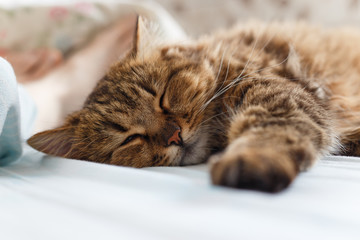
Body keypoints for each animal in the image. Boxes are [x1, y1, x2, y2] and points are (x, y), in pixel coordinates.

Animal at [28, 17, 360, 193]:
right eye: (129, 138)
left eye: (162, 97)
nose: (174, 136)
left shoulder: (278, 95)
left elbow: (271, 131)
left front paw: (254, 160)